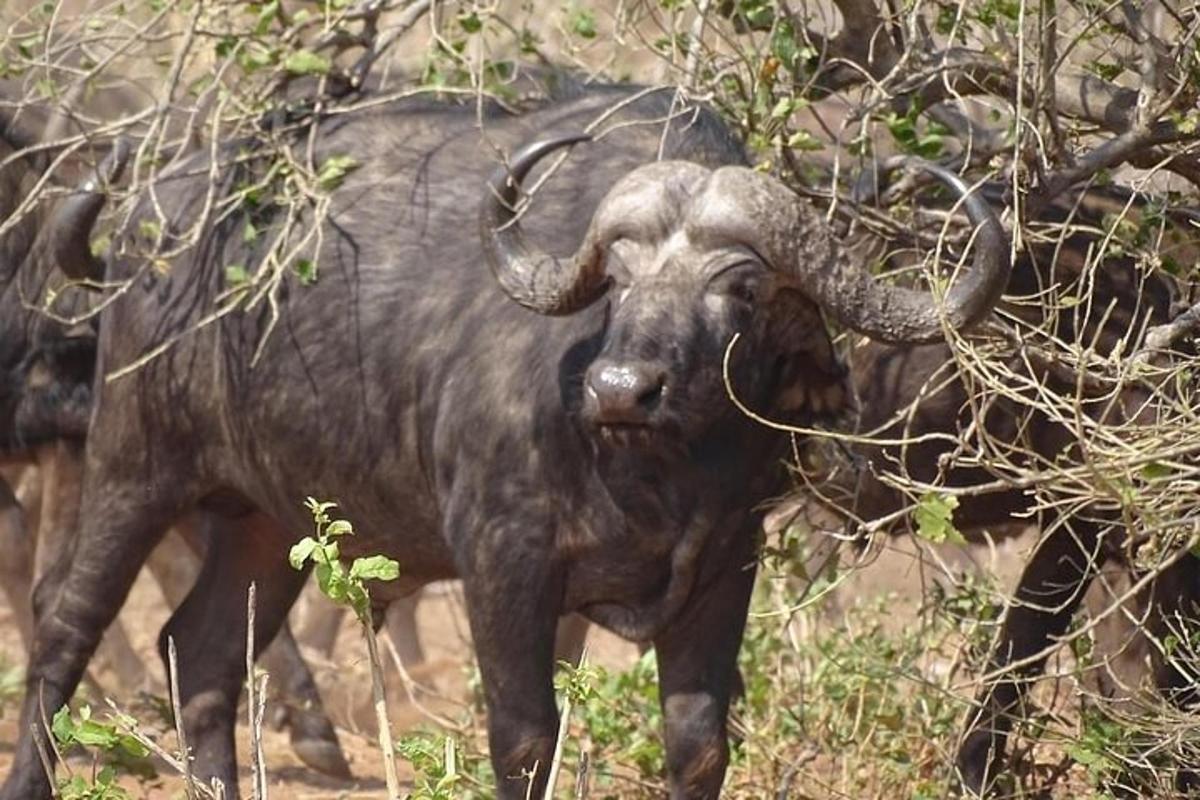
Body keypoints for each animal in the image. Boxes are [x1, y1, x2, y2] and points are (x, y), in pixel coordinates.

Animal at [2, 84, 1003, 796]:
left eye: (743, 288)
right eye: (619, 278)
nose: (619, 389)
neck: (651, 473)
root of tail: (152, 226)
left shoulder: (726, 565)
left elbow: (697, 744)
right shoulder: (505, 561)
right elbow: (526, 739)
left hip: (264, 520)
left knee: (202, 658)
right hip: (132, 468)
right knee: (63, 625)